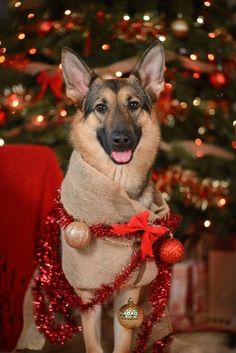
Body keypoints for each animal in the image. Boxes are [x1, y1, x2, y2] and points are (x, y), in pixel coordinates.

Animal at [61, 41, 167, 352]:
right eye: (101, 107)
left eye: (133, 105)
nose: (121, 139)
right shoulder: (88, 297)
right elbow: (93, 345)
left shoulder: (129, 295)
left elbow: (122, 344)